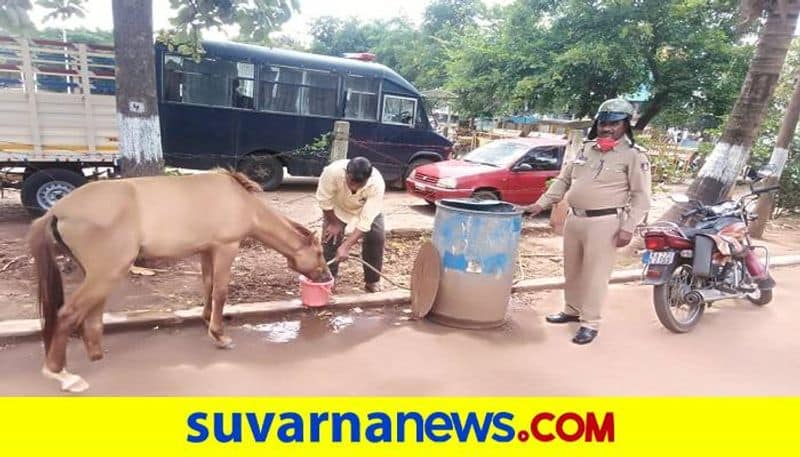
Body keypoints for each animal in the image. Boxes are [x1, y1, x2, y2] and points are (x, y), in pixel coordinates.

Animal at [28, 169, 328, 390]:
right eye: (319, 252)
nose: (326, 276)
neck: (240, 200)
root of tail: (58, 209)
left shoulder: (207, 250)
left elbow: (208, 287)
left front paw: (207, 321)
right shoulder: (226, 247)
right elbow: (220, 291)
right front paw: (220, 335)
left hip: (98, 274)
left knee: (91, 313)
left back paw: (95, 354)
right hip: (107, 272)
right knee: (67, 314)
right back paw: (62, 374)